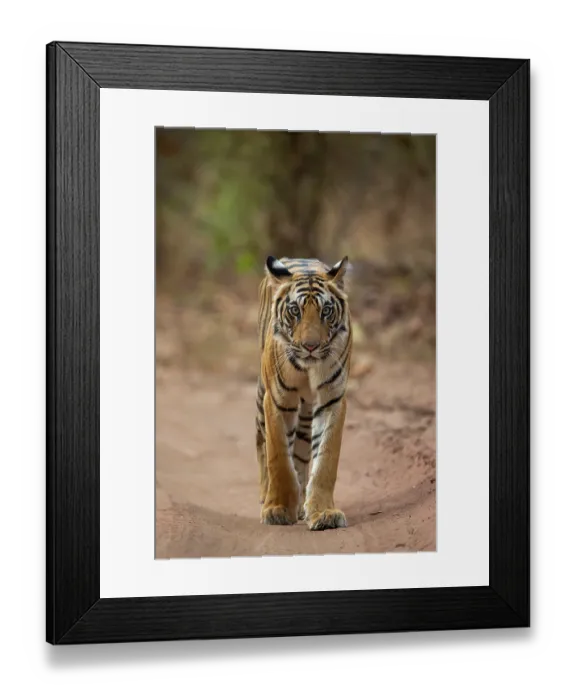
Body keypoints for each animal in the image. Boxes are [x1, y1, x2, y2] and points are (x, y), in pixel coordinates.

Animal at [255, 255, 352, 531]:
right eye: (295, 311)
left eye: (326, 311)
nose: (310, 346)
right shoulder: (277, 401)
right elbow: (278, 456)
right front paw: (277, 509)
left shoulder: (332, 400)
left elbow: (326, 459)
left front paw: (323, 513)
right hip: (261, 396)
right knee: (261, 444)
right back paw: (268, 496)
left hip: (307, 411)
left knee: (300, 451)